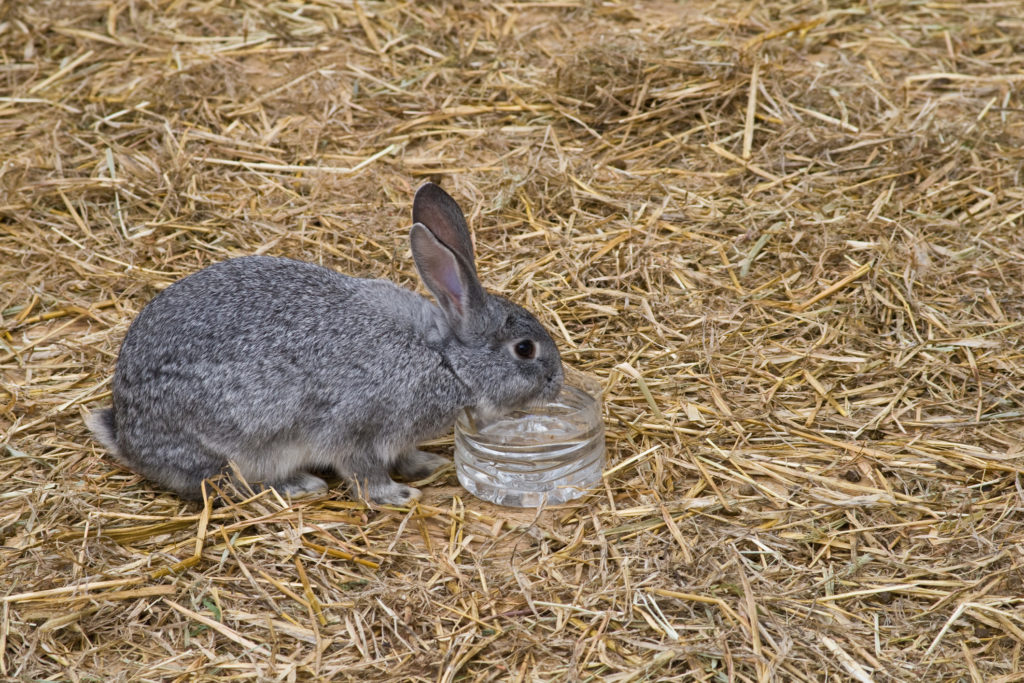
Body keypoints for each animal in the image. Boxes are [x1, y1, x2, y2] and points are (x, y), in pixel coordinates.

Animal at [86, 184, 569, 505]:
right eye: (524, 350)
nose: (558, 383)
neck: (444, 357)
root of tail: (127, 434)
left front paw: (425, 465)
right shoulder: (358, 428)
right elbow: (364, 471)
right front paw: (397, 493)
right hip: (238, 441)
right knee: (226, 483)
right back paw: (300, 484)